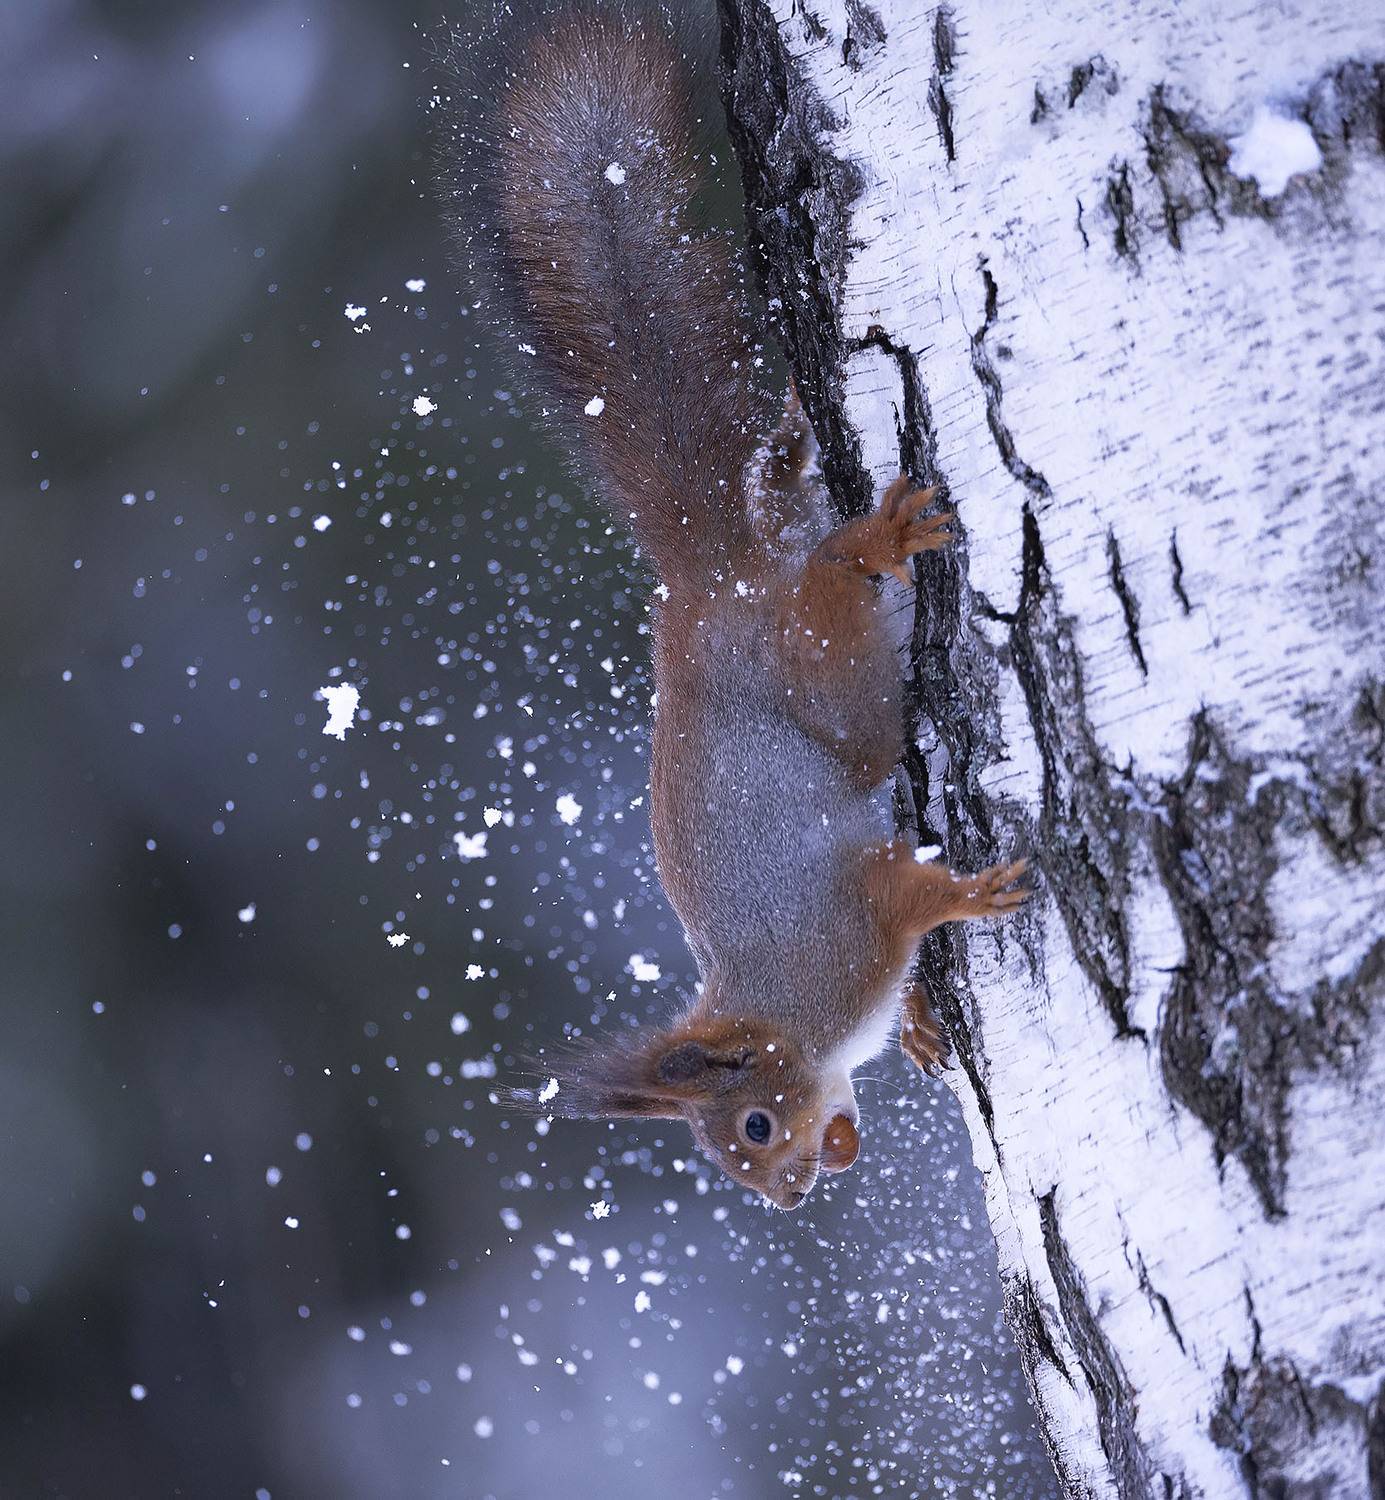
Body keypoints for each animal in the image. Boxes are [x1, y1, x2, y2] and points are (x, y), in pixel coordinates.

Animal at [436, 3, 1028, 1210]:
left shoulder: (841, 927)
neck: (788, 1019)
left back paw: (876, 537)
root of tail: (709, 588)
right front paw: (920, 1027)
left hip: (822, 666)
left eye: (752, 1125)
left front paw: (966, 906)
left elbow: (905, 904)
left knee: (838, 578)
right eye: (733, 1155)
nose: (791, 1197)